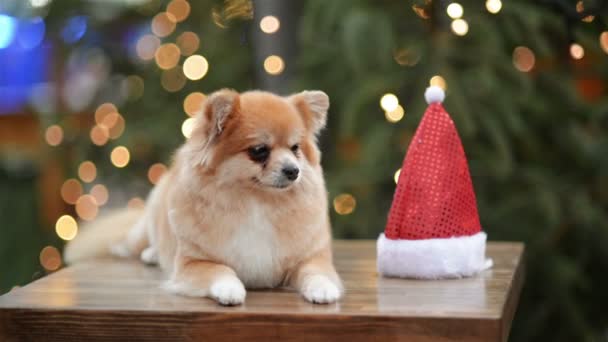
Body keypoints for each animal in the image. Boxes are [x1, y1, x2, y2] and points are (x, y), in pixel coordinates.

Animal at [65, 89, 346, 306]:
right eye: (259, 151)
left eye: (295, 149)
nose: (293, 170)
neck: (256, 203)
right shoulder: (193, 263)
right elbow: (220, 269)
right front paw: (230, 288)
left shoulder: (310, 257)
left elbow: (315, 271)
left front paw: (323, 288)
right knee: (135, 243)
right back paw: (150, 253)